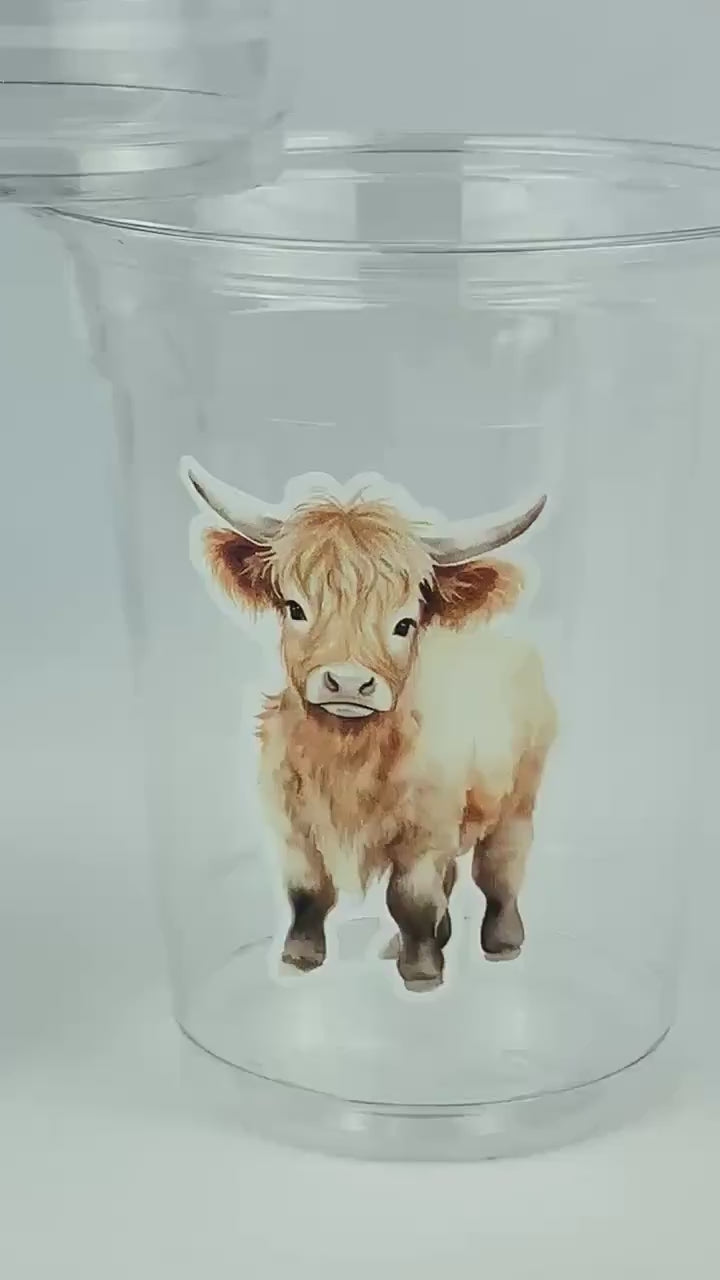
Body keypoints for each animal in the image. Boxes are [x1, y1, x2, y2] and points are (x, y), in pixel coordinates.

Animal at [182, 457, 557, 993]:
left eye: (404, 623)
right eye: (295, 608)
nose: (347, 682)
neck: (345, 757)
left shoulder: (424, 831)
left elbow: (411, 897)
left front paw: (421, 973)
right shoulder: (292, 820)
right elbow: (306, 891)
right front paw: (300, 957)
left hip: (518, 799)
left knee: (499, 870)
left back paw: (502, 943)